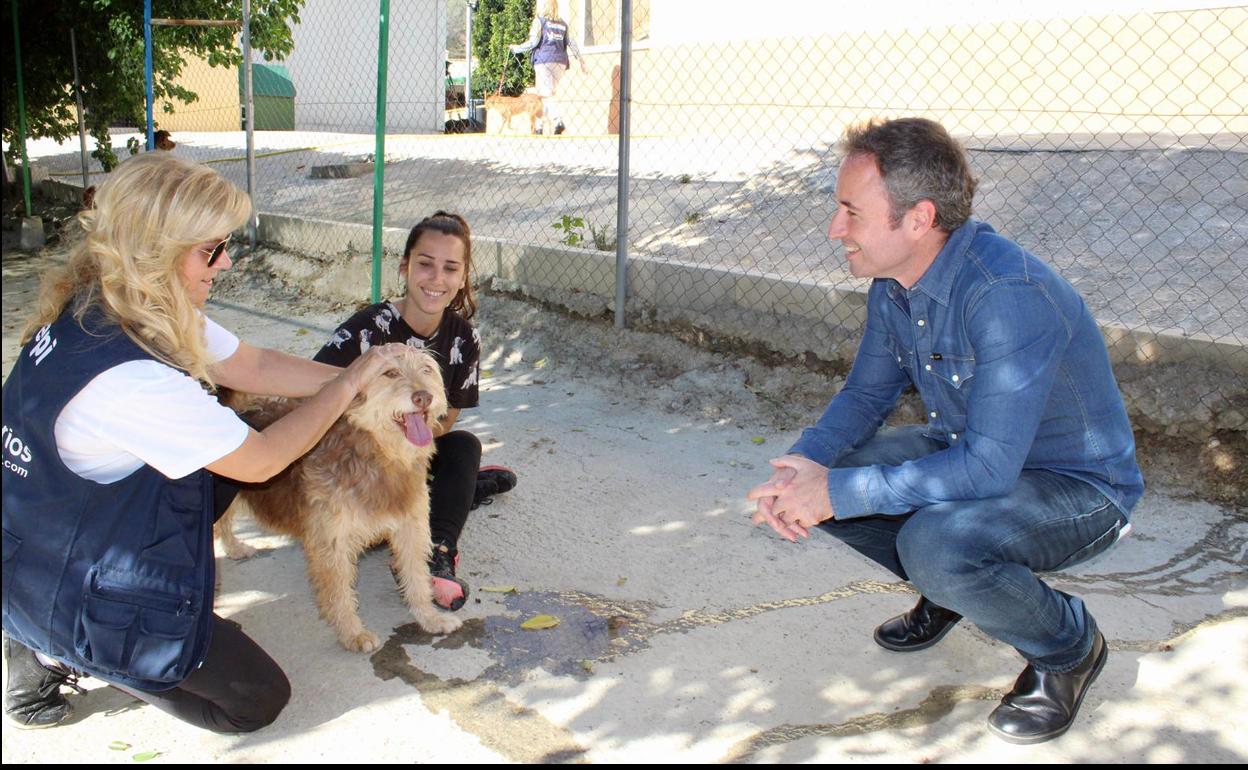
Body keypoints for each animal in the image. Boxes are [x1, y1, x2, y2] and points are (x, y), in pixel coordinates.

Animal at [215, 344, 464, 653]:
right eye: (390, 373)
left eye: (426, 370)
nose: (423, 396)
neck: (377, 457)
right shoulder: (332, 543)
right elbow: (339, 594)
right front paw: (353, 634)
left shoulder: (411, 526)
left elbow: (417, 576)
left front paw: (429, 617)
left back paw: (235, 548)